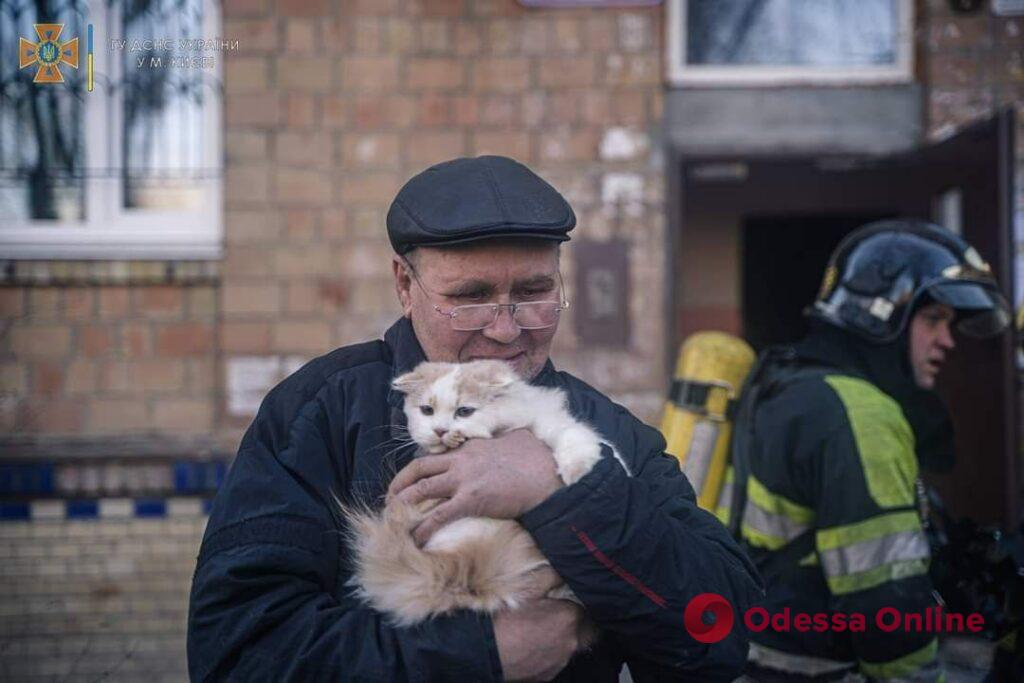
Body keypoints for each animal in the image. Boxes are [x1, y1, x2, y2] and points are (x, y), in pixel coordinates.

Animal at [342, 358, 622, 630]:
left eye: (464, 411)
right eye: (427, 410)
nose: (441, 431)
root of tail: (465, 568)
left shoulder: (549, 423)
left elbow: (576, 438)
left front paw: (579, 472)